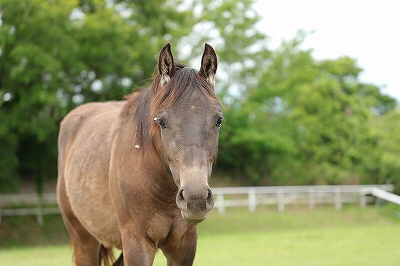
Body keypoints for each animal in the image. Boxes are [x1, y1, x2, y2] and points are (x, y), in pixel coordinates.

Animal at [57, 42, 222, 264]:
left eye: (218, 120)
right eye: (161, 121)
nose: (195, 198)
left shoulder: (184, 247)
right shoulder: (137, 243)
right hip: (84, 240)